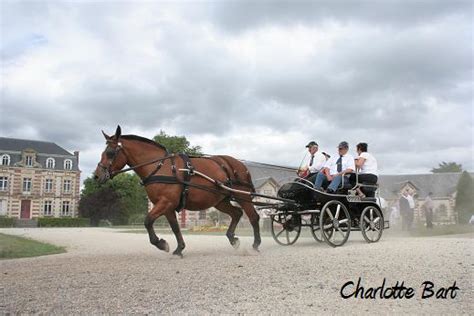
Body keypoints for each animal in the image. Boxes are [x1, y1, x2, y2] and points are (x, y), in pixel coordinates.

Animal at [94, 126, 262, 256]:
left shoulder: (165, 202)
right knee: (237, 213)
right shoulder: (167, 206)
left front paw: (161, 243)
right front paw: (179, 248)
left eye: (110, 152)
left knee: (253, 217)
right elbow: (175, 227)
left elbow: (148, 221)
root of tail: (238, 164)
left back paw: (255, 244)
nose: (96, 175)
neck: (161, 167)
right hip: (220, 201)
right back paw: (233, 239)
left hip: (242, 196)